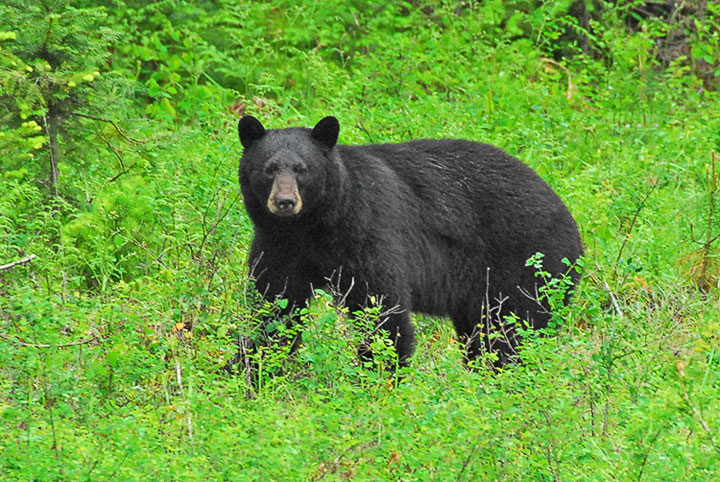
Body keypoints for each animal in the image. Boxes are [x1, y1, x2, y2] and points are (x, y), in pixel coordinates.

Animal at [239, 115, 584, 368]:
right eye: (269, 169)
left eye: (302, 170)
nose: (284, 202)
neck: (313, 226)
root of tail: (574, 228)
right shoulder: (279, 245)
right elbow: (275, 307)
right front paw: (251, 371)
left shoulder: (368, 230)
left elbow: (381, 308)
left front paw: (378, 376)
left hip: (526, 264)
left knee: (511, 331)